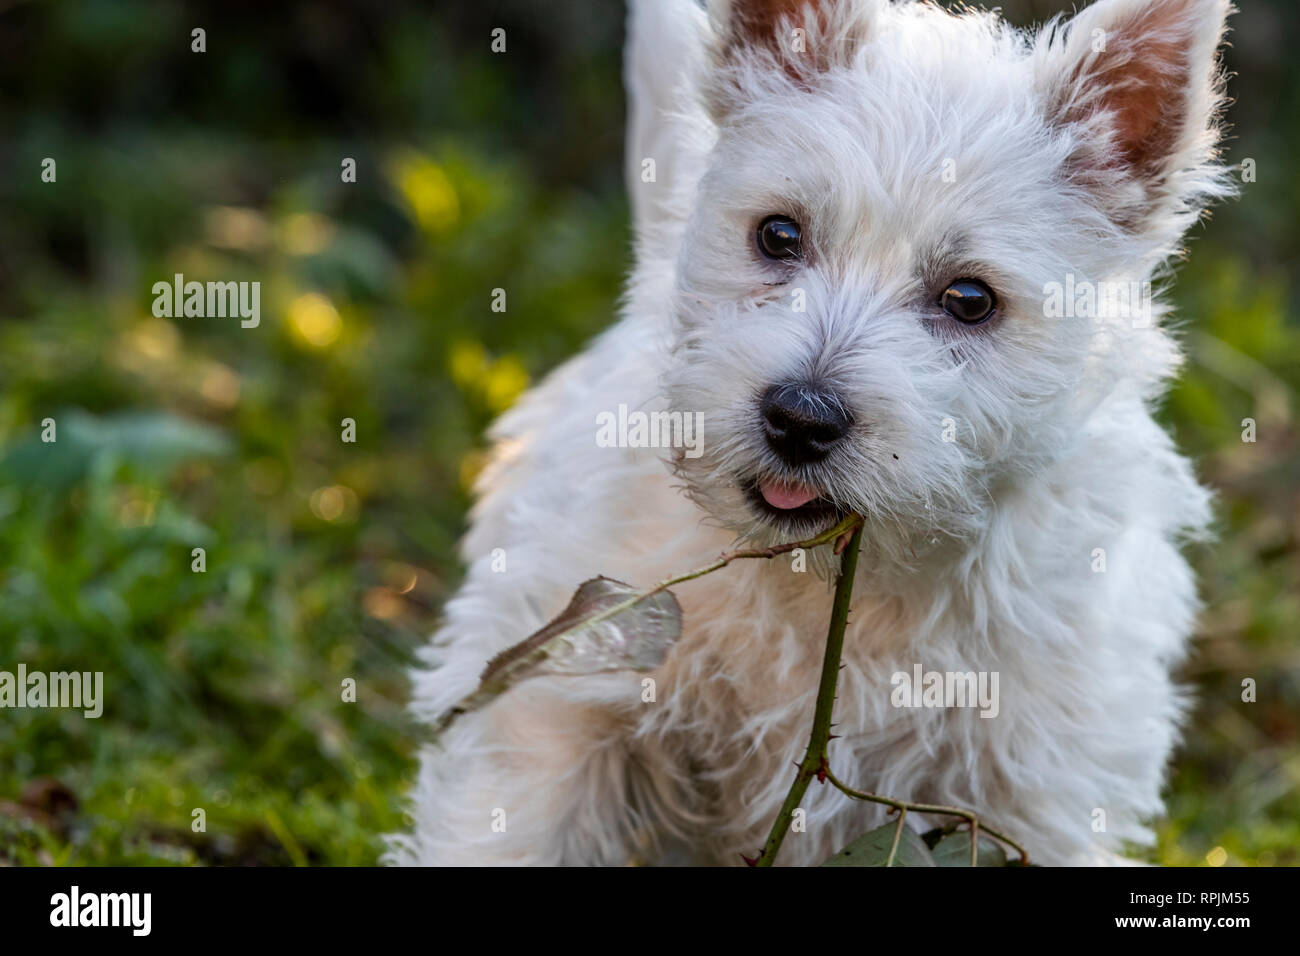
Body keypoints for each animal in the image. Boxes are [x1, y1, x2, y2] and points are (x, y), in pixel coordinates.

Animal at [382, 0, 1227, 868]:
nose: (799, 418)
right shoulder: (565, 696)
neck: (827, 583)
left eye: (969, 298)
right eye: (779, 235)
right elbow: (508, 830)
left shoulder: (1033, 794)